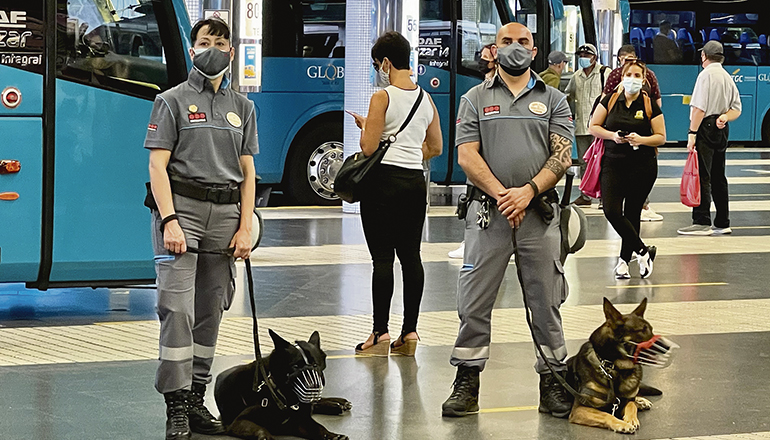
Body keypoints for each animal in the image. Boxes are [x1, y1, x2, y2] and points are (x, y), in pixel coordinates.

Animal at [213, 330, 352, 440]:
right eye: (295, 366)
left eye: (315, 365)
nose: (313, 386)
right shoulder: (240, 421)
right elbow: (260, 429)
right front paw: (266, 437)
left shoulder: (301, 420)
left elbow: (318, 427)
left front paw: (332, 435)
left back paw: (337, 403)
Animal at [560, 298, 656, 434]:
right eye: (641, 331)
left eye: (651, 329)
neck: (614, 368)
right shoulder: (579, 409)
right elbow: (606, 414)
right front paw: (622, 424)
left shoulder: (625, 401)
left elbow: (631, 405)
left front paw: (631, 419)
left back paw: (641, 401)